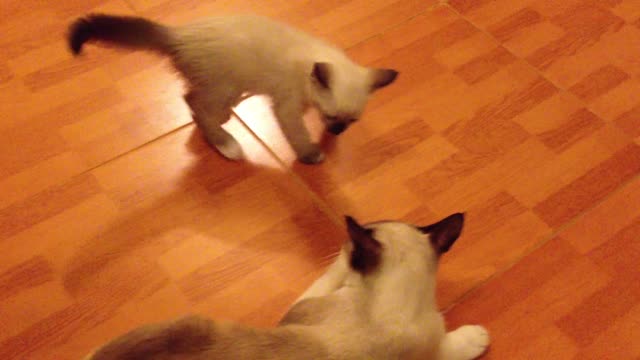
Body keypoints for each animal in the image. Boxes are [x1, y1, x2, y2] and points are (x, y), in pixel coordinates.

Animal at [67, 14, 398, 164]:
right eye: (332, 117)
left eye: (352, 121)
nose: (338, 131)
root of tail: (179, 36)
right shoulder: (286, 107)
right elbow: (299, 134)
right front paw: (312, 154)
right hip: (225, 85)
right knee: (195, 104)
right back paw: (226, 144)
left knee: (193, 100)